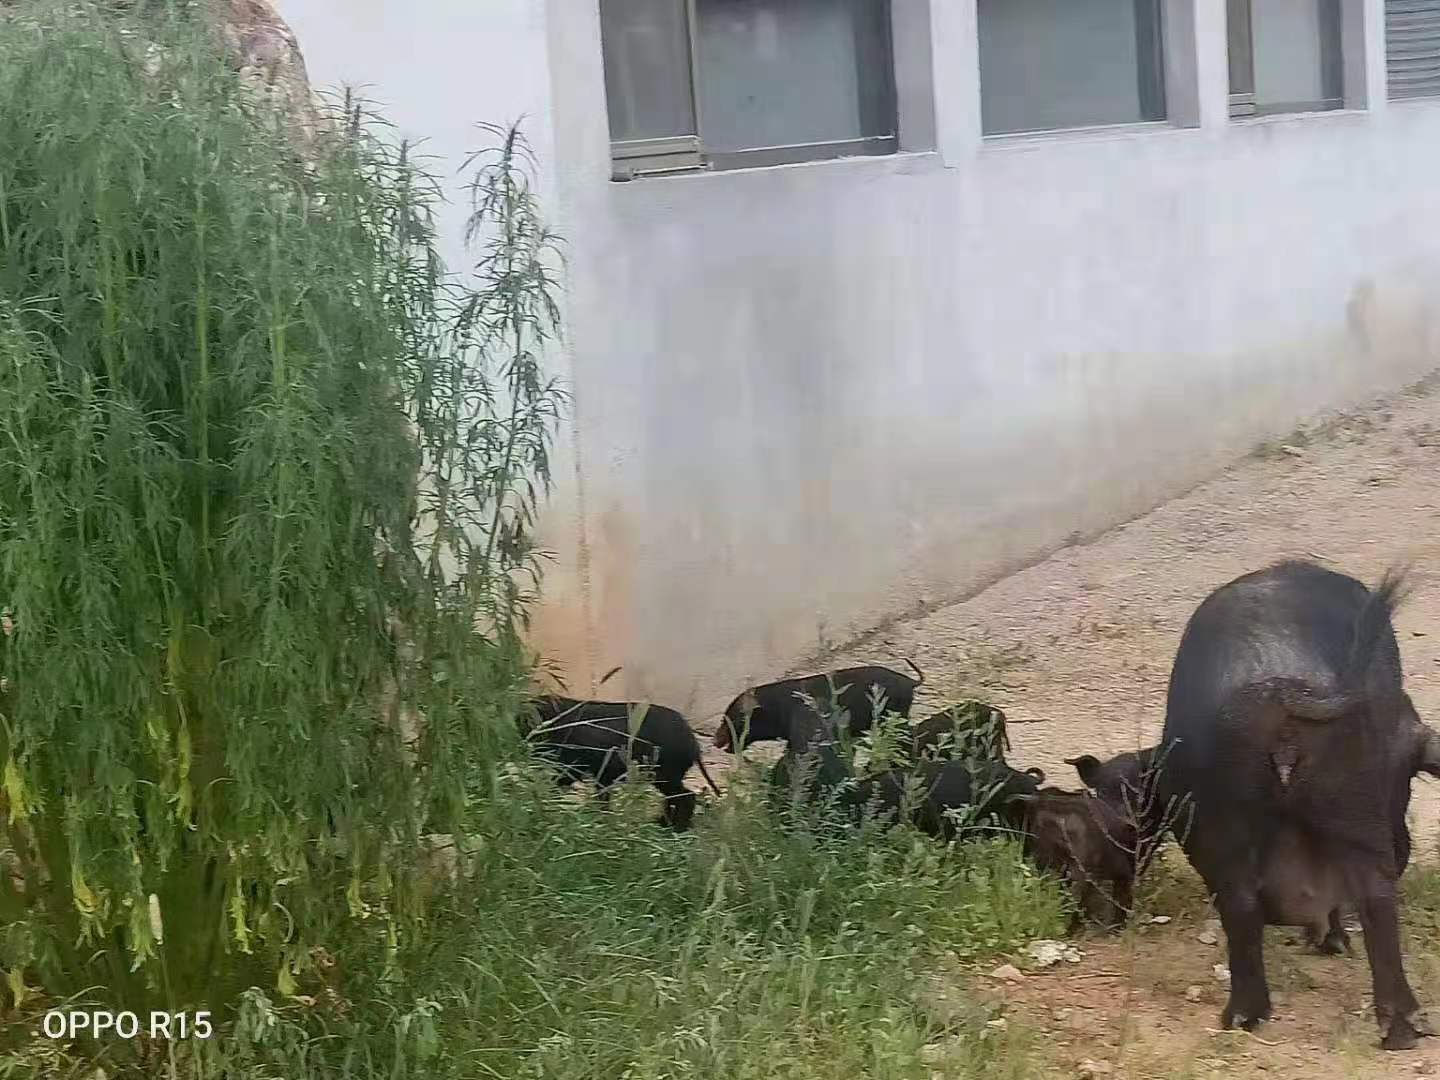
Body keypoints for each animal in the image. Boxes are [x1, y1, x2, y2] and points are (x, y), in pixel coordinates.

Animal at [525, 696, 722, 831]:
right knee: (676, 798)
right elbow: (602, 800)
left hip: (665, 776)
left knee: (686, 797)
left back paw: (675, 829)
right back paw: (662, 823)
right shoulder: (599, 775)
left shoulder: (575, 767)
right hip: (665, 777)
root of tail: (693, 743)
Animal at [1072, 561, 1440, 1049]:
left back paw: (1247, 1017)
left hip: (1231, 829)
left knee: (1250, 905)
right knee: (1371, 897)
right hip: (1347, 814)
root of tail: (1278, 688)